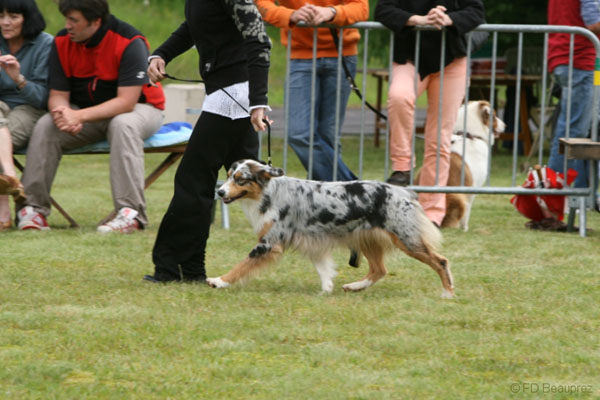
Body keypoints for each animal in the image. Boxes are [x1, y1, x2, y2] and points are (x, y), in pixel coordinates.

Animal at [206, 159, 455, 298]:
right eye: (228, 177)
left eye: (240, 179)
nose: (219, 192)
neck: (270, 194)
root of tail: (406, 192)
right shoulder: (312, 239)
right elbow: (323, 268)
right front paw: (326, 290)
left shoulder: (268, 243)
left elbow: (241, 266)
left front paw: (219, 281)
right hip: (366, 238)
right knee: (379, 270)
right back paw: (355, 287)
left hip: (406, 239)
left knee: (441, 261)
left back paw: (448, 293)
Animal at [442, 100, 506, 231]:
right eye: (494, 116)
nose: (505, 125)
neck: (472, 135)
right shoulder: (471, 189)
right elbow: (467, 212)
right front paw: (465, 228)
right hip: (457, 197)